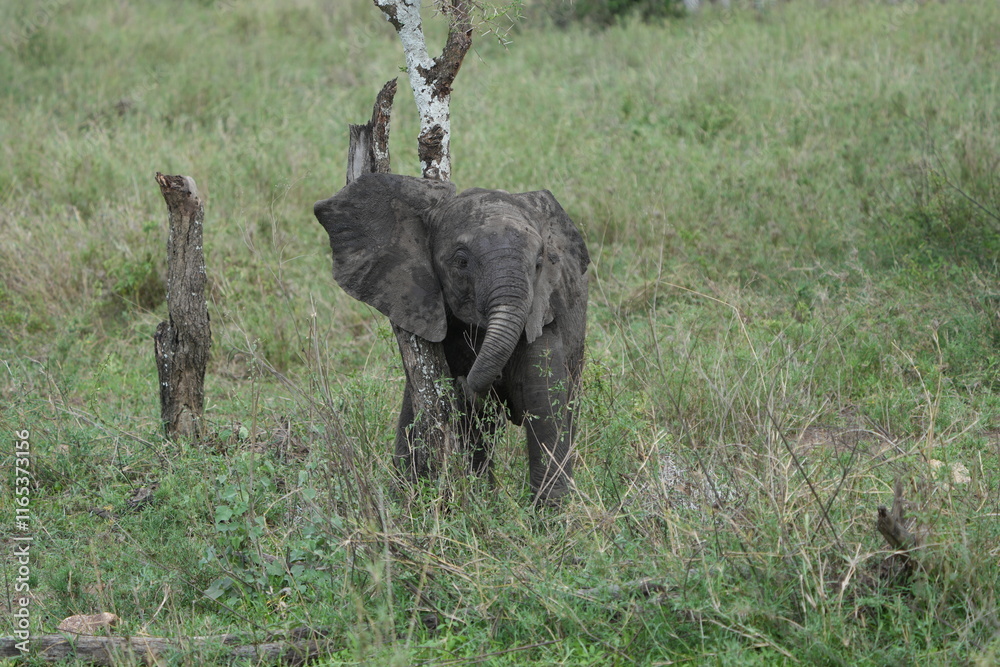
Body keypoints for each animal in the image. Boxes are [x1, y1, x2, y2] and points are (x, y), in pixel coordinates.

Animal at [314, 173, 590, 503]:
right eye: (461, 262)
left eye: (539, 264)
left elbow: (546, 405)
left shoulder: (545, 314)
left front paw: (552, 514)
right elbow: (417, 414)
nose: (466, 382)